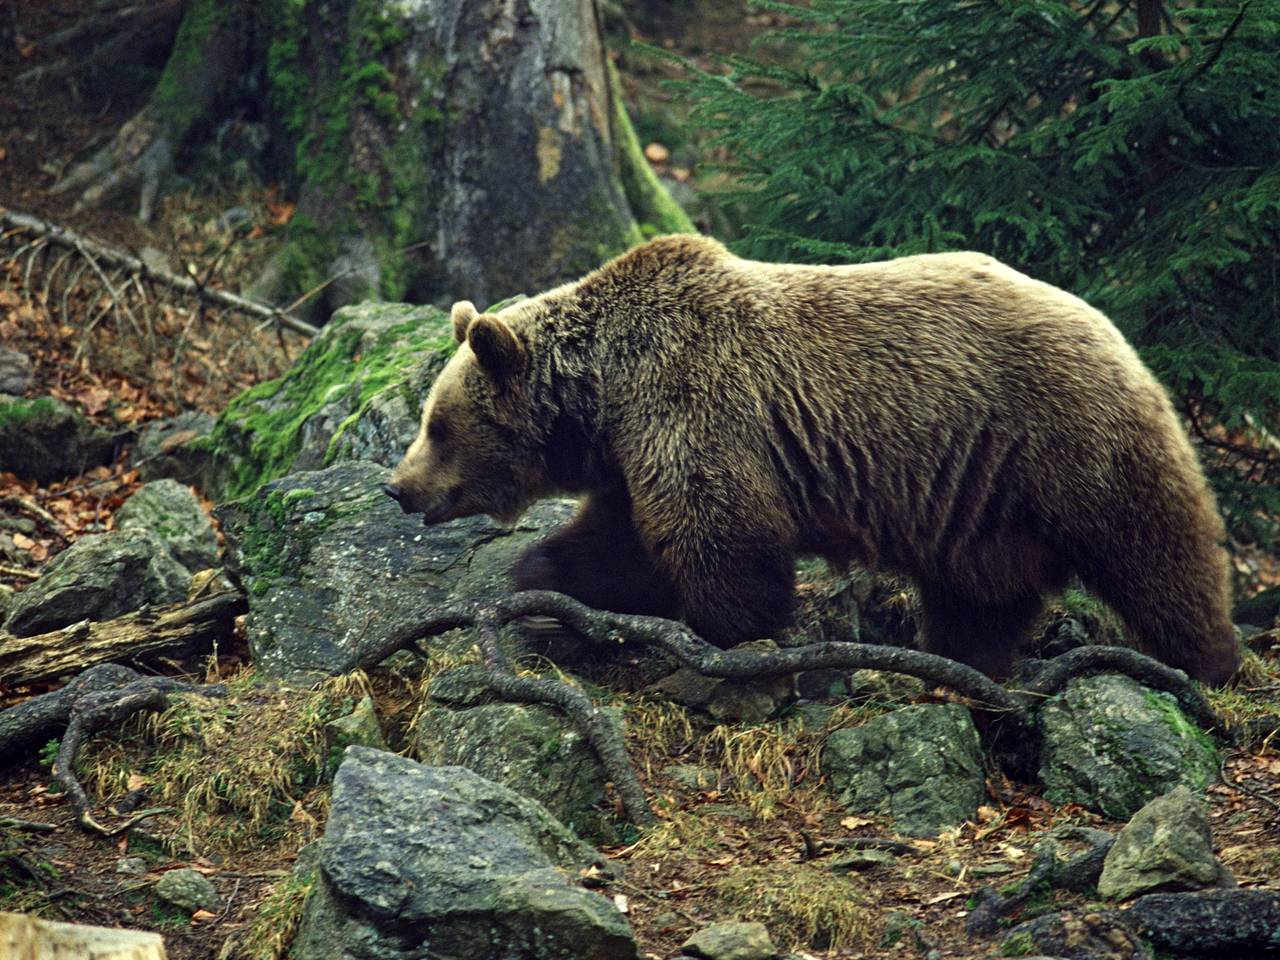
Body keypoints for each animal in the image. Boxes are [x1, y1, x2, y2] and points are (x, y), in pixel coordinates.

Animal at [385, 234, 1240, 686]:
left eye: (438, 423)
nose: (399, 487)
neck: (605, 395)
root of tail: (1118, 331)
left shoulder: (696, 407)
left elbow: (722, 539)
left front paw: (728, 636)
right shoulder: (637, 454)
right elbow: (620, 544)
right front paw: (541, 584)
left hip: (1063, 440)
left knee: (1155, 550)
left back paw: (1208, 662)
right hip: (981, 503)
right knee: (980, 593)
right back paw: (961, 658)